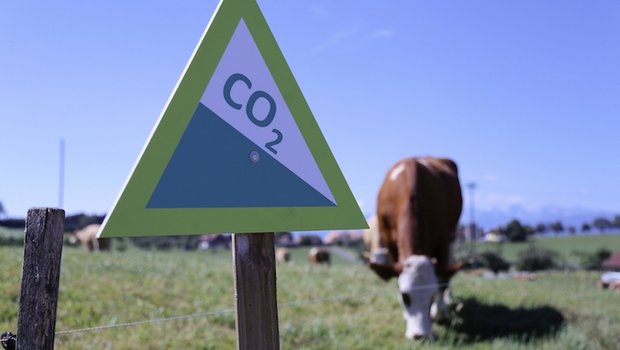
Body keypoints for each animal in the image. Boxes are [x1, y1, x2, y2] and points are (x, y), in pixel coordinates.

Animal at [366, 157, 462, 340]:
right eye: (405, 296)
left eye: (432, 295)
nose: (421, 336)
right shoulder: (389, 243)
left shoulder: (444, 239)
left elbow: (442, 278)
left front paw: (438, 311)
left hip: (453, 235)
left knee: (448, 270)